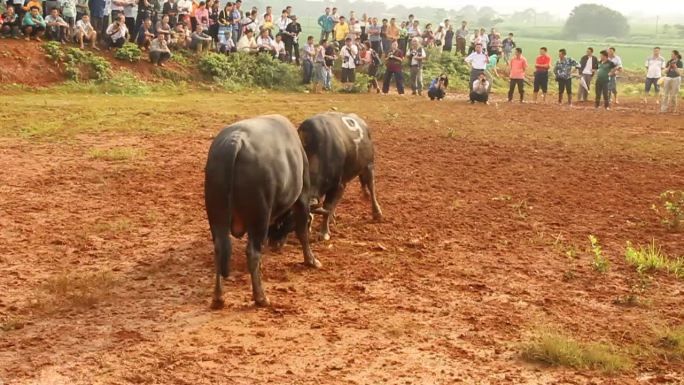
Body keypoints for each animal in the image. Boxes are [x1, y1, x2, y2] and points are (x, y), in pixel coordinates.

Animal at [204, 114, 322, 308]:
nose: (276, 244)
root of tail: (235, 140)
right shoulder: (302, 197)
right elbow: (302, 232)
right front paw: (311, 260)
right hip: (259, 218)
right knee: (252, 252)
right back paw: (260, 297)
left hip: (217, 217)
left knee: (220, 249)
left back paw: (218, 298)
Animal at [300, 111, 384, 240]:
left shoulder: (335, 185)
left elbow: (327, 206)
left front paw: (324, 233)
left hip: (368, 166)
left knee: (371, 187)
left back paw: (377, 213)